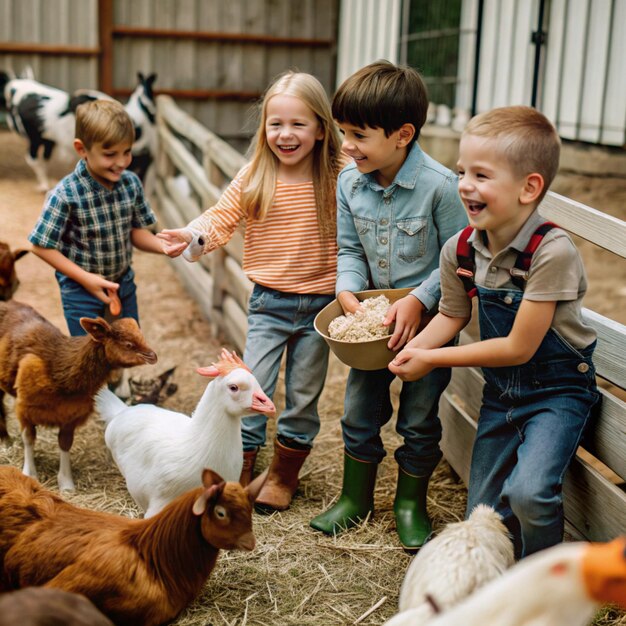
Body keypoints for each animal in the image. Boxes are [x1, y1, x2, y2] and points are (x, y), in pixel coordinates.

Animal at [0, 300, 156, 490]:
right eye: (128, 344)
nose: (153, 356)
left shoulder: (71, 414)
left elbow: (65, 443)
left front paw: (66, 484)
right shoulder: (25, 408)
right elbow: (29, 439)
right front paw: (30, 474)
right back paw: (5, 441)